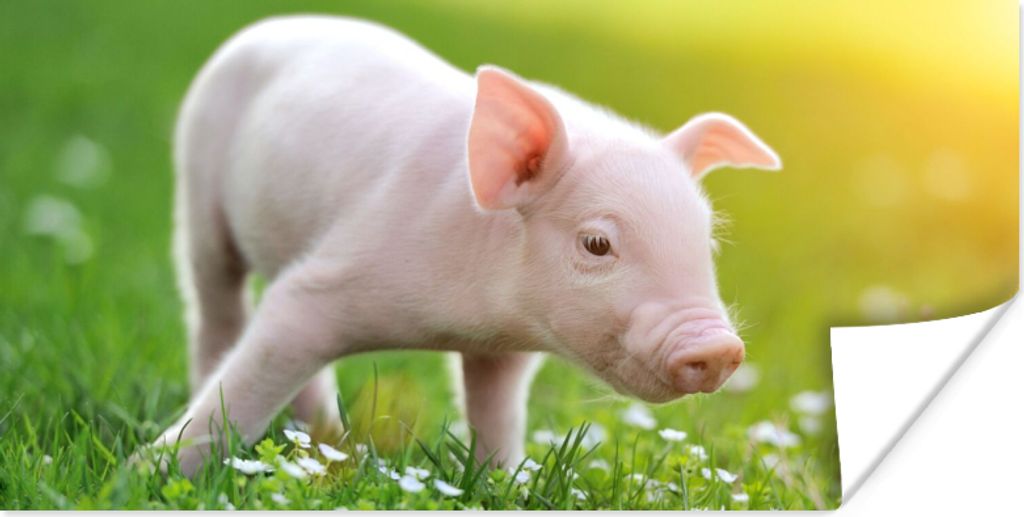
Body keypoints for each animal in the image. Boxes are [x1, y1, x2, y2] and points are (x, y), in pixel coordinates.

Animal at [151, 15, 781, 475]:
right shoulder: (330, 277)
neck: (465, 321)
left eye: (706, 241)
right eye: (598, 243)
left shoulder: (504, 352)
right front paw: (150, 474)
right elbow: (255, 370)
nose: (719, 346)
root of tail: (266, 26)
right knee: (216, 306)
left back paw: (328, 439)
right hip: (197, 188)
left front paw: (501, 481)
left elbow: (495, 410)